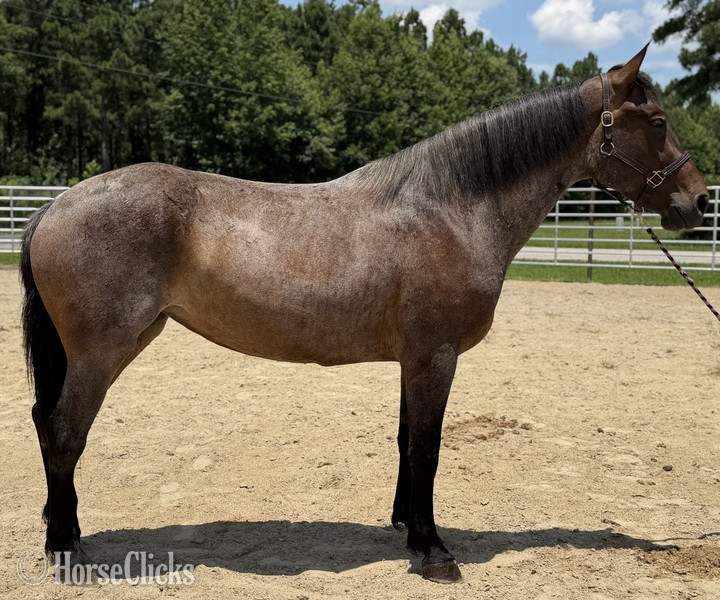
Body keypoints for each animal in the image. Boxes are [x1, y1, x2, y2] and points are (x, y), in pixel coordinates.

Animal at [20, 46, 708, 583]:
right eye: (657, 120)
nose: (697, 201)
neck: (450, 208)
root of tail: (53, 207)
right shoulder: (435, 356)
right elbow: (428, 447)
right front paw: (434, 553)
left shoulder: (414, 358)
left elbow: (407, 441)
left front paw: (407, 527)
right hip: (102, 353)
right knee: (63, 433)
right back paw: (66, 551)